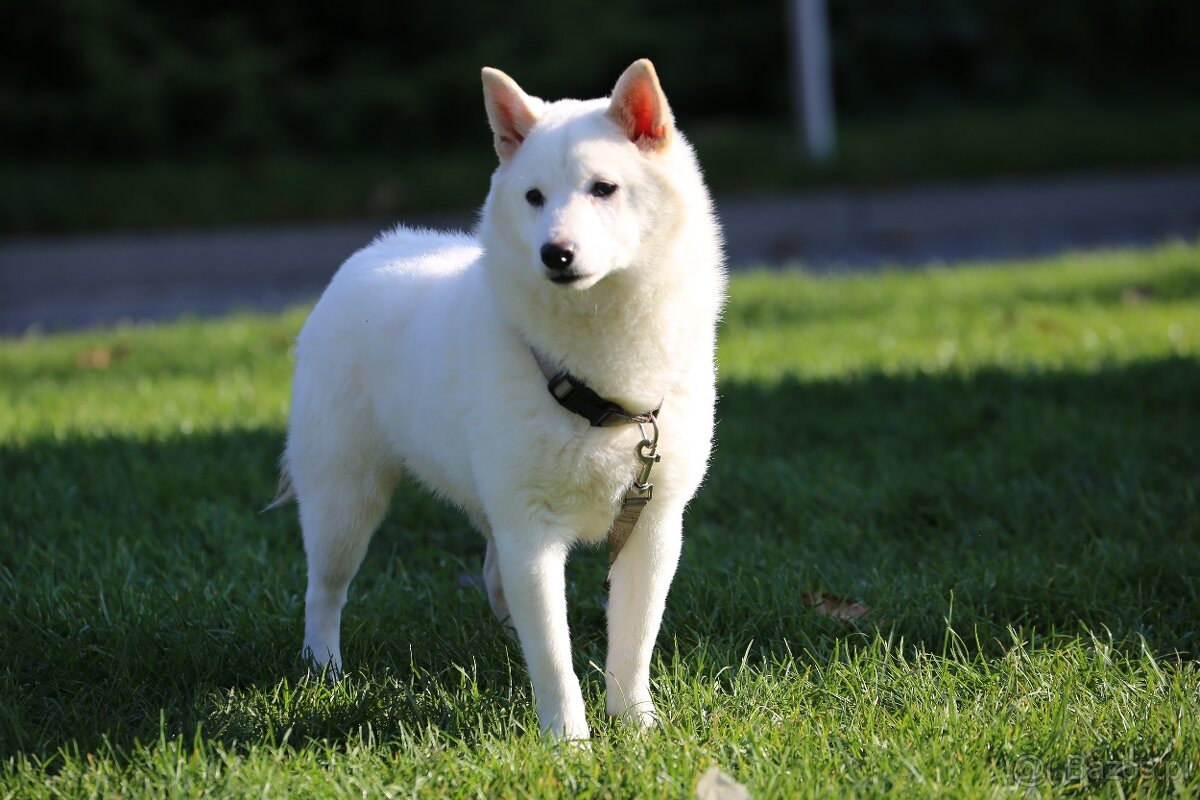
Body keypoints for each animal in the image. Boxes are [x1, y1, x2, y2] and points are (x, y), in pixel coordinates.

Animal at [277, 59, 724, 743]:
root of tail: (375, 250)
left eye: (604, 188)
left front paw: (636, 727)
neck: (593, 379)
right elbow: (557, 659)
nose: (555, 253)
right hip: (344, 501)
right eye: (533, 197)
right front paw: (569, 743)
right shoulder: (531, 533)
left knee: (493, 578)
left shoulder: (652, 529)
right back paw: (322, 667)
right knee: (323, 591)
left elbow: (631, 646)